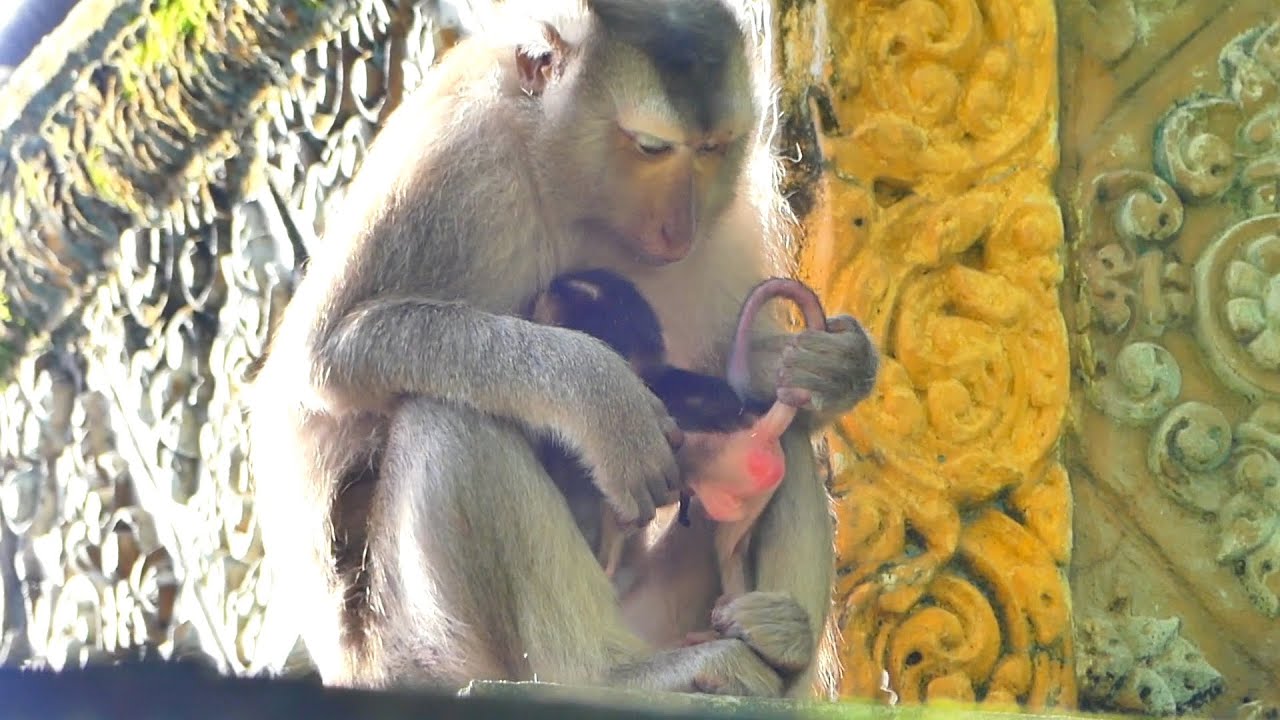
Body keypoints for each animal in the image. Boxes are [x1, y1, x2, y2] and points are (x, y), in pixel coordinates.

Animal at [246, 0, 880, 699]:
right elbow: (329, 353)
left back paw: (779, 649)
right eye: (652, 147)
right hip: (419, 654)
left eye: (713, 149)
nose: (678, 227)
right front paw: (602, 401)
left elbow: (733, 376)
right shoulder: (453, 160)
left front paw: (832, 368)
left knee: (778, 427)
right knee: (450, 419)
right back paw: (615, 672)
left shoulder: (732, 216)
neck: (569, 186)